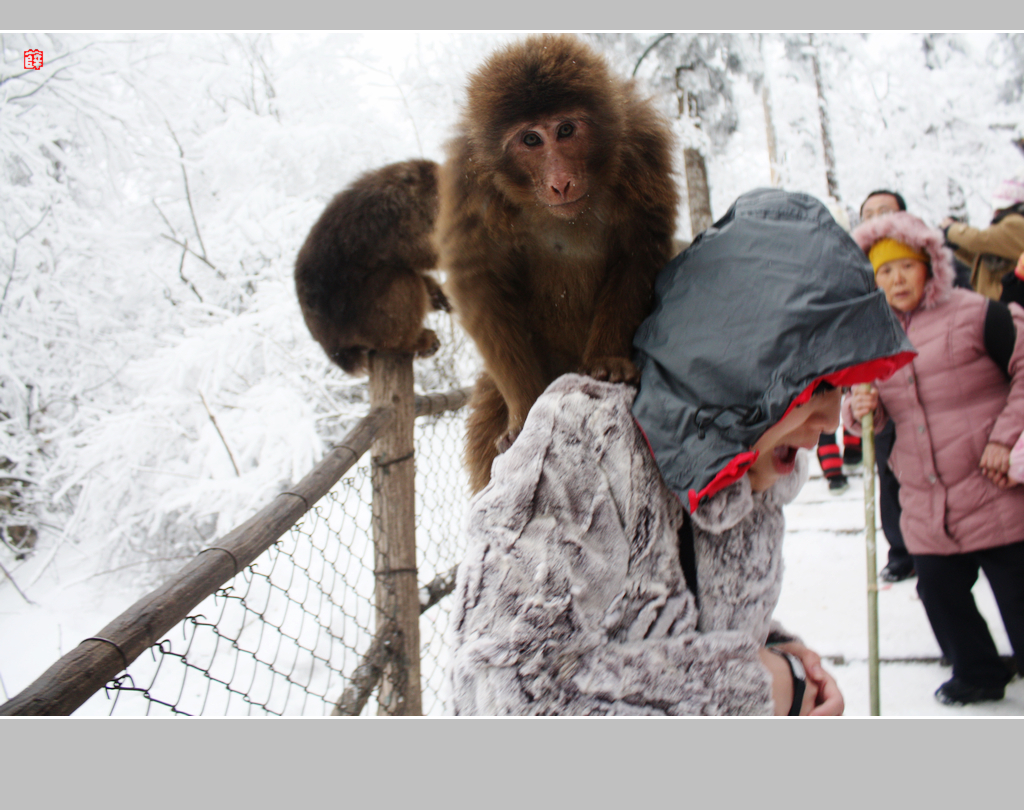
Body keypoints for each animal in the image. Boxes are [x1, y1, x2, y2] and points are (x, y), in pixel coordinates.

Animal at [290, 158, 446, 376]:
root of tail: (333, 349)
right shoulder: (397, 220)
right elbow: (427, 253)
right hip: (365, 324)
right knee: (400, 279)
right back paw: (411, 342)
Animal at [434, 34, 679, 491]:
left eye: (565, 130)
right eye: (531, 140)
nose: (560, 181)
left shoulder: (643, 147)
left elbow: (639, 250)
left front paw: (608, 363)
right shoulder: (468, 180)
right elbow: (479, 281)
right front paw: (524, 409)